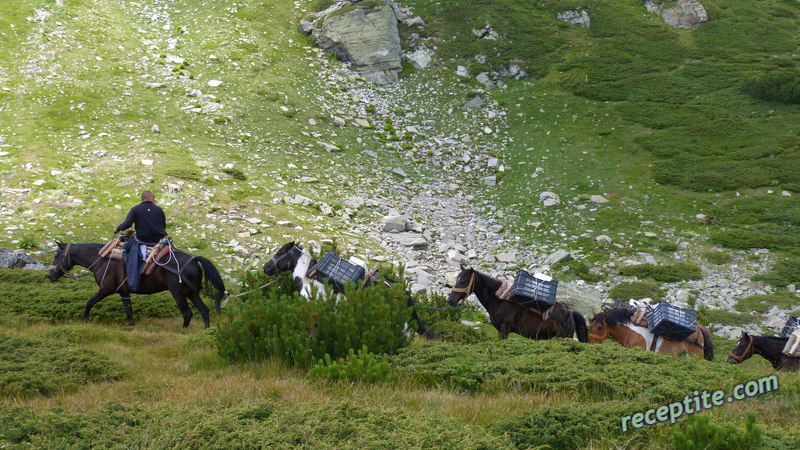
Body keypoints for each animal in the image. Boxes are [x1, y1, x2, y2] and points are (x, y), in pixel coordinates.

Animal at [444, 268, 588, 342]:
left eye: (463, 281)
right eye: (457, 279)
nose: (450, 300)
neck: (499, 299)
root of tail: (570, 312)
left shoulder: (504, 329)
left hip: (563, 338)